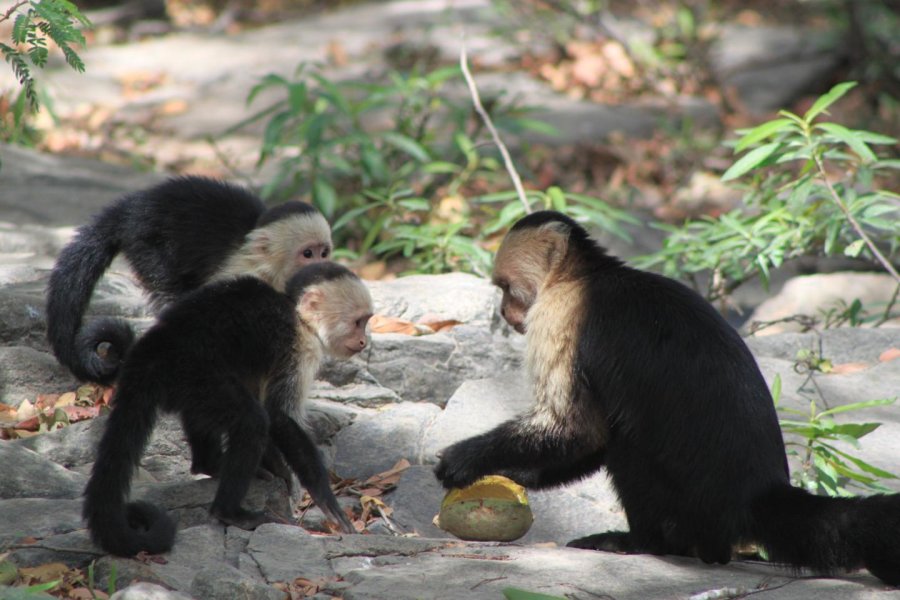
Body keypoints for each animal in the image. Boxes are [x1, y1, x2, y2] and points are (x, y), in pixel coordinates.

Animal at [46, 175, 333, 386]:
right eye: (308, 254)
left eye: (324, 252)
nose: (322, 265)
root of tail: (132, 206)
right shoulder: (240, 274)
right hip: (147, 242)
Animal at [82, 262, 373, 557]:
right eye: (358, 322)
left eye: (366, 321)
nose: (364, 342)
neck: (297, 314)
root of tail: (148, 354)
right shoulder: (300, 347)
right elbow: (279, 416)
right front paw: (326, 500)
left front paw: (275, 466)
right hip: (191, 372)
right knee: (251, 420)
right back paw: (229, 512)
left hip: (187, 386)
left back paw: (209, 464)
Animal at [434, 210, 900, 586]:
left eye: (505, 288)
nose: (505, 314)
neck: (582, 276)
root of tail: (757, 493)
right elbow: (590, 438)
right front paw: (514, 472)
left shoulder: (558, 316)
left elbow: (576, 429)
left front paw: (467, 459)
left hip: (694, 508)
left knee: (628, 449)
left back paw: (642, 543)